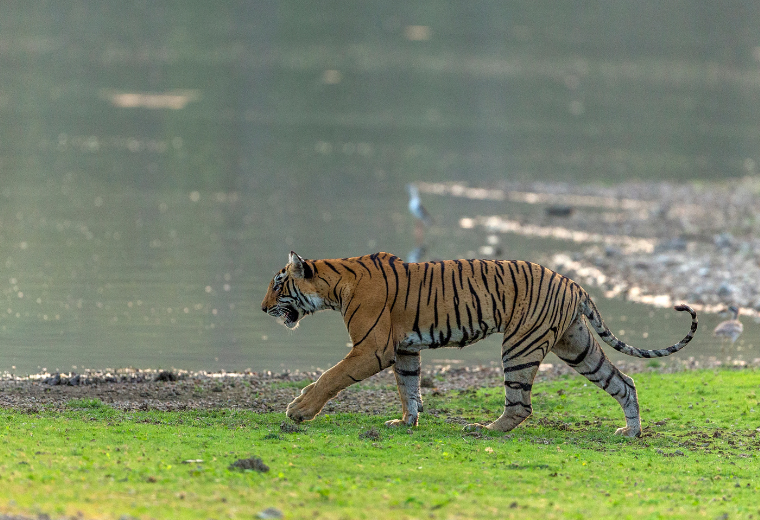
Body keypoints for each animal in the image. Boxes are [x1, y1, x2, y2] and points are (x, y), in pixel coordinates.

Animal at [258, 250, 696, 436]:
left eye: (278, 284)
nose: (262, 308)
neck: (334, 285)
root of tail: (572, 282)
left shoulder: (373, 349)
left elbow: (331, 377)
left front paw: (298, 411)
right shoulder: (404, 348)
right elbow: (408, 387)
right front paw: (406, 422)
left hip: (520, 345)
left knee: (520, 405)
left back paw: (484, 429)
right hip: (576, 345)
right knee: (624, 382)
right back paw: (631, 432)